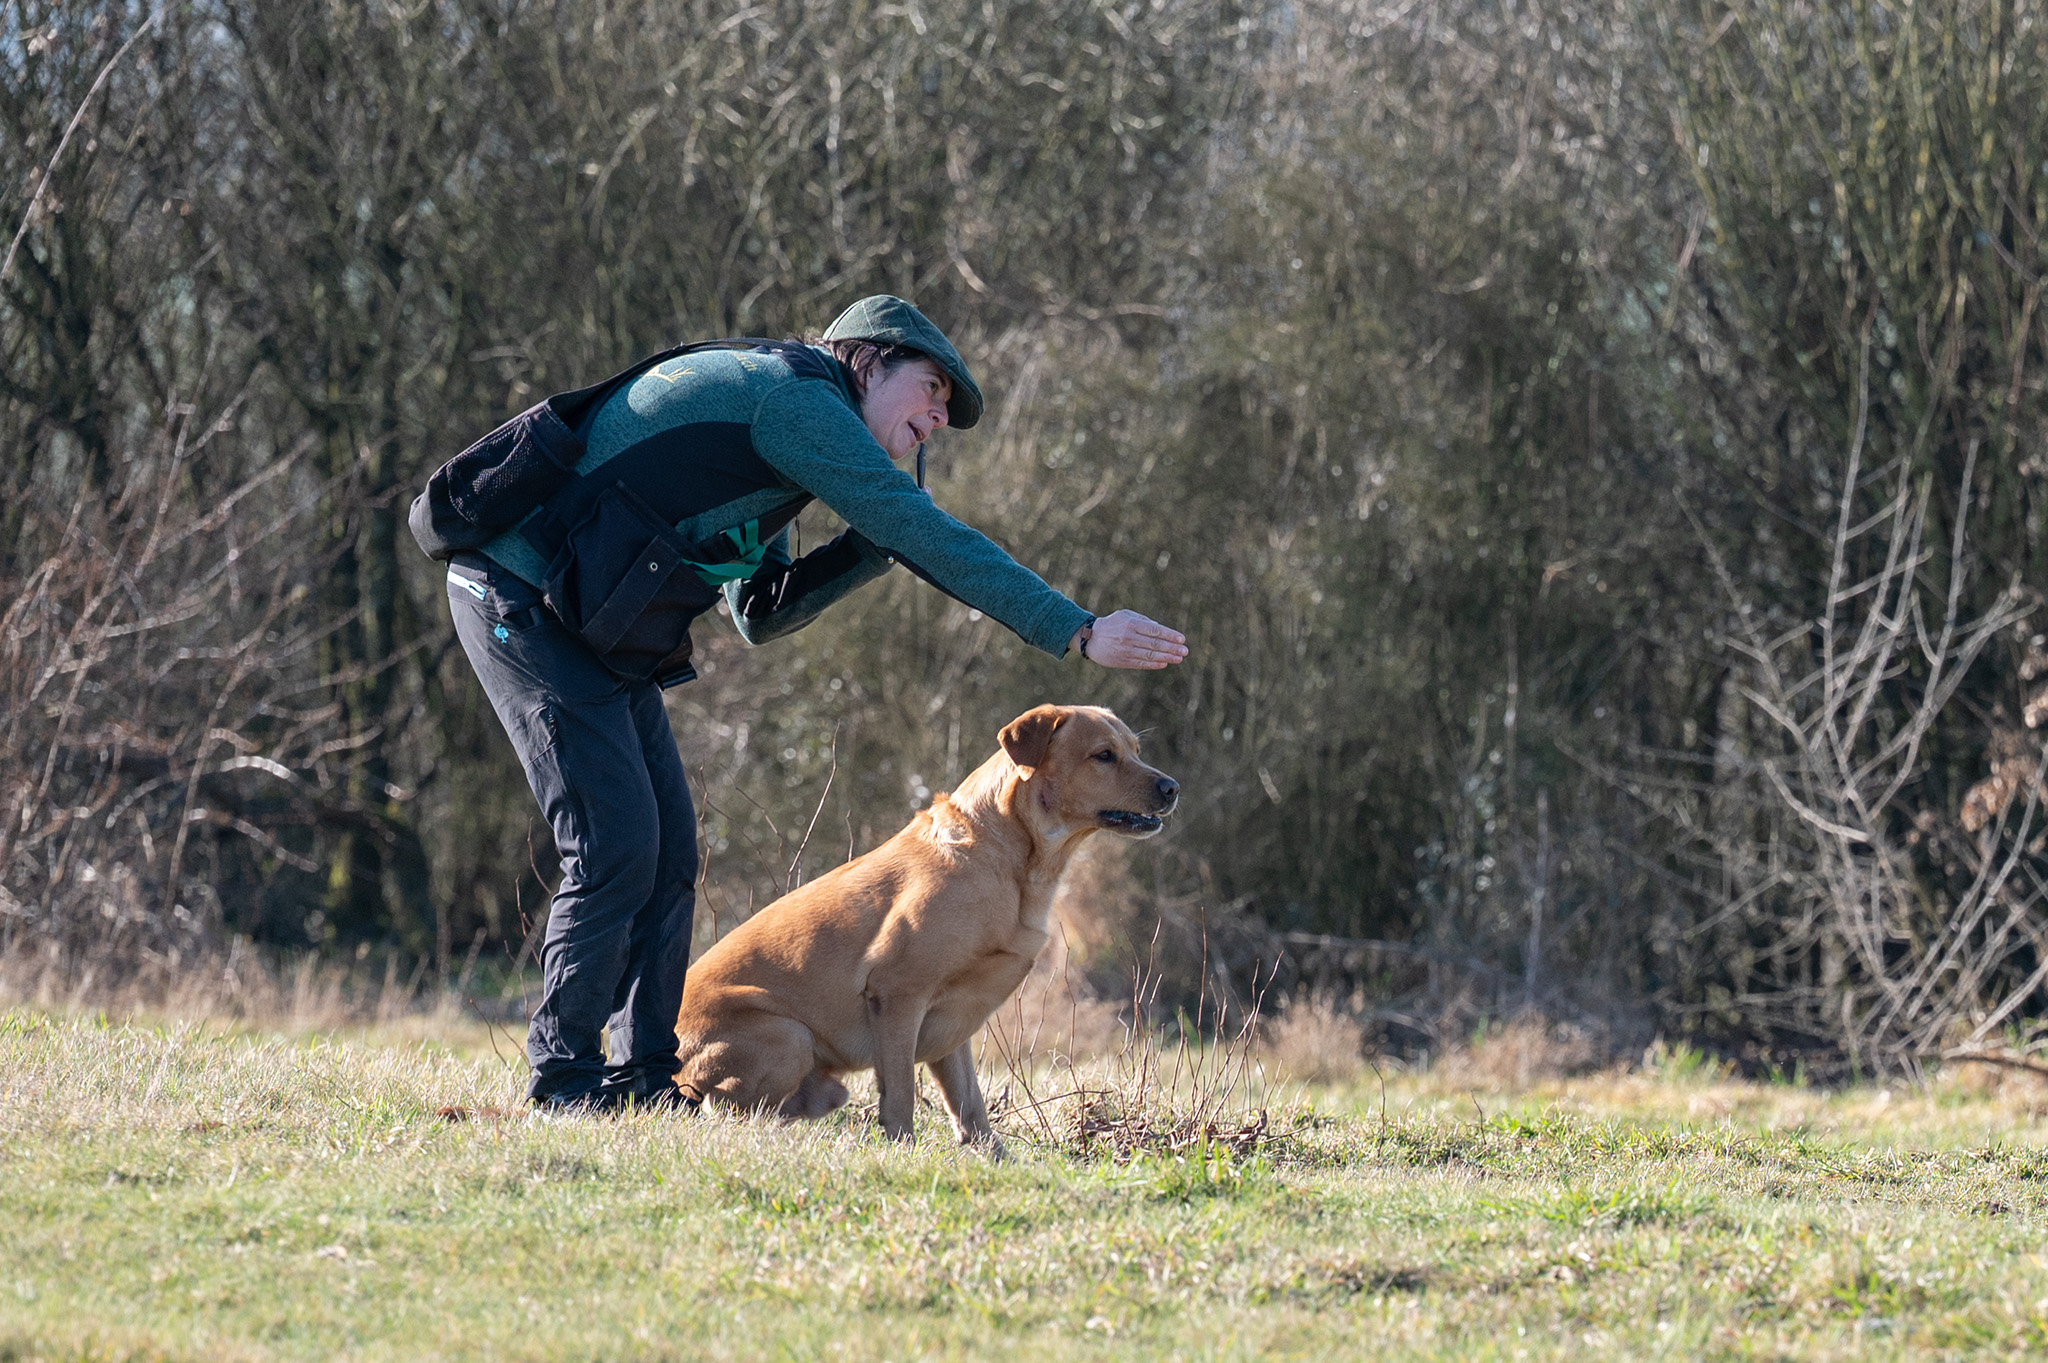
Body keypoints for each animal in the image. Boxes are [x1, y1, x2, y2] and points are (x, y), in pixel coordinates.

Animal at [674, 703, 1179, 1149]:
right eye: (1103, 755)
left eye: (1135, 749)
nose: (1173, 786)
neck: (1012, 858)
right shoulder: (899, 995)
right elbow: (900, 1097)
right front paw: (902, 1151)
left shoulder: (954, 1022)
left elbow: (971, 1108)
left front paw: (993, 1159)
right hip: (790, 1036)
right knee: (717, 1107)